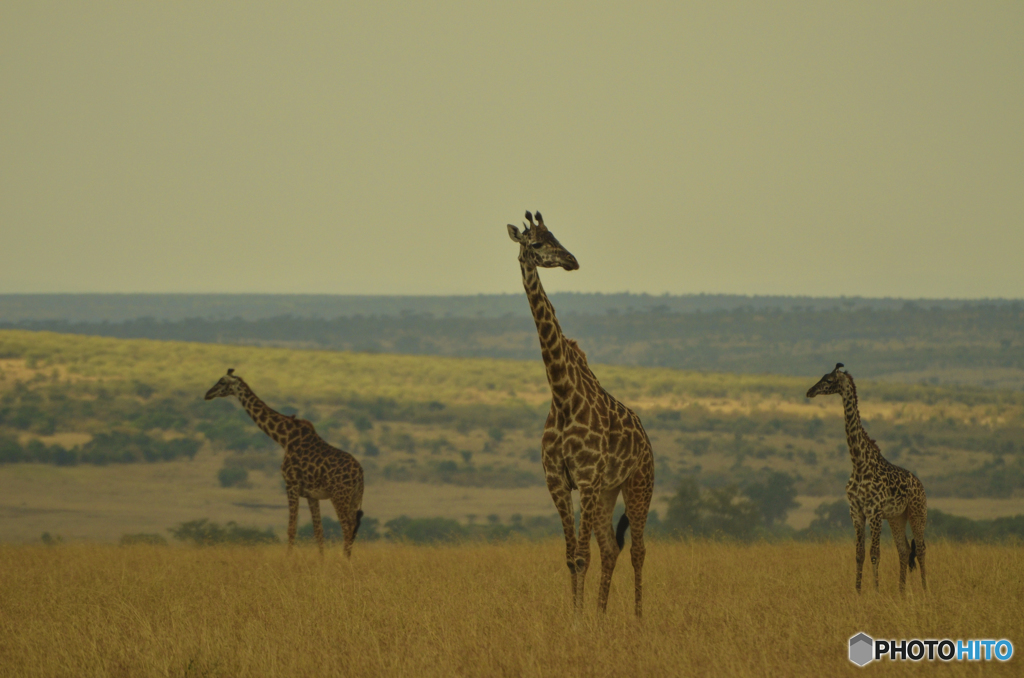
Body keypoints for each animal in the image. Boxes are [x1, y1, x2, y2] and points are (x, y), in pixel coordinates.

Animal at [203, 372, 364, 557]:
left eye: (222, 382)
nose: (207, 394)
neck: (284, 438)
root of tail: (360, 473)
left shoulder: (291, 484)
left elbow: (291, 528)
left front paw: (288, 559)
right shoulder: (311, 494)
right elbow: (318, 530)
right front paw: (321, 560)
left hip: (339, 496)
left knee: (347, 527)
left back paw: (344, 559)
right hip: (353, 498)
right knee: (353, 528)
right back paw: (347, 559)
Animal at [505, 213, 655, 622]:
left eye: (556, 236)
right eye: (536, 243)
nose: (571, 261)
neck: (562, 396)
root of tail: (646, 439)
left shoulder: (585, 479)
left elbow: (583, 555)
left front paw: (578, 621)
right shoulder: (558, 481)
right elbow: (572, 556)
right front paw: (580, 616)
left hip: (639, 484)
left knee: (637, 550)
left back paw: (638, 618)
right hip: (606, 492)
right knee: (612, 549)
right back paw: (602, 616)